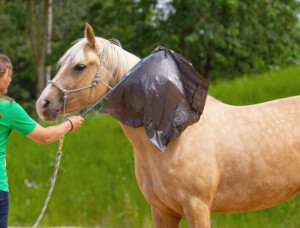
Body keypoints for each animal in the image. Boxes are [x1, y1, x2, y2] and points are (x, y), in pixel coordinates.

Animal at [36, 24, 300, 227]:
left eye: (79, 66)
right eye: (61, 64)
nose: (43, 104)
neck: (172, 138)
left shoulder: (197, 208)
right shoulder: (162, 211)